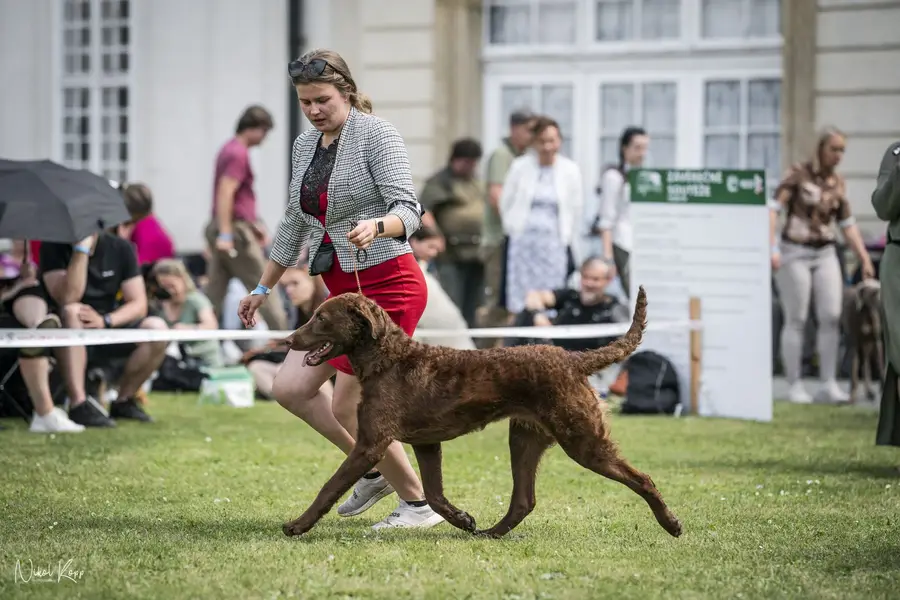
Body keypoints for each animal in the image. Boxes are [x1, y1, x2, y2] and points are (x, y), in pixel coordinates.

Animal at [282, 286, 684, 540]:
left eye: (321, 317)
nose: (287, 340)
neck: (388, 359)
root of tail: (572, 359)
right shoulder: (426, 443)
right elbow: (435, 495)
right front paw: (463, 520)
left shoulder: (370, 443)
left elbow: (329, 486)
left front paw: (297, 526)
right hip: (524, 437)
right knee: (524, 500)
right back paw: (490, 533)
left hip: (582, 439)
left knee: (643, 478)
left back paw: (672, 525)